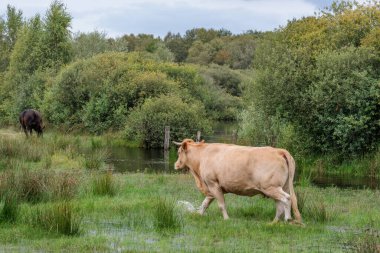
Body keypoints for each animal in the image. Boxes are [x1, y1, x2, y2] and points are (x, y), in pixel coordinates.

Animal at [174, 138, 302, 223]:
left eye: (179, 152)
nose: (176, 165)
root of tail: (279, 150)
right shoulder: (210, 188)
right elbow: (205, 203)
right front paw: (199, 214)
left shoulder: (213, 184)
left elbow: (221, 205)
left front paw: (226, 219)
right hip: (281, 187)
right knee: (280, 204)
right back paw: (274, 222)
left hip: (271, 187)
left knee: (286, 199)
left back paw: (287, 219)